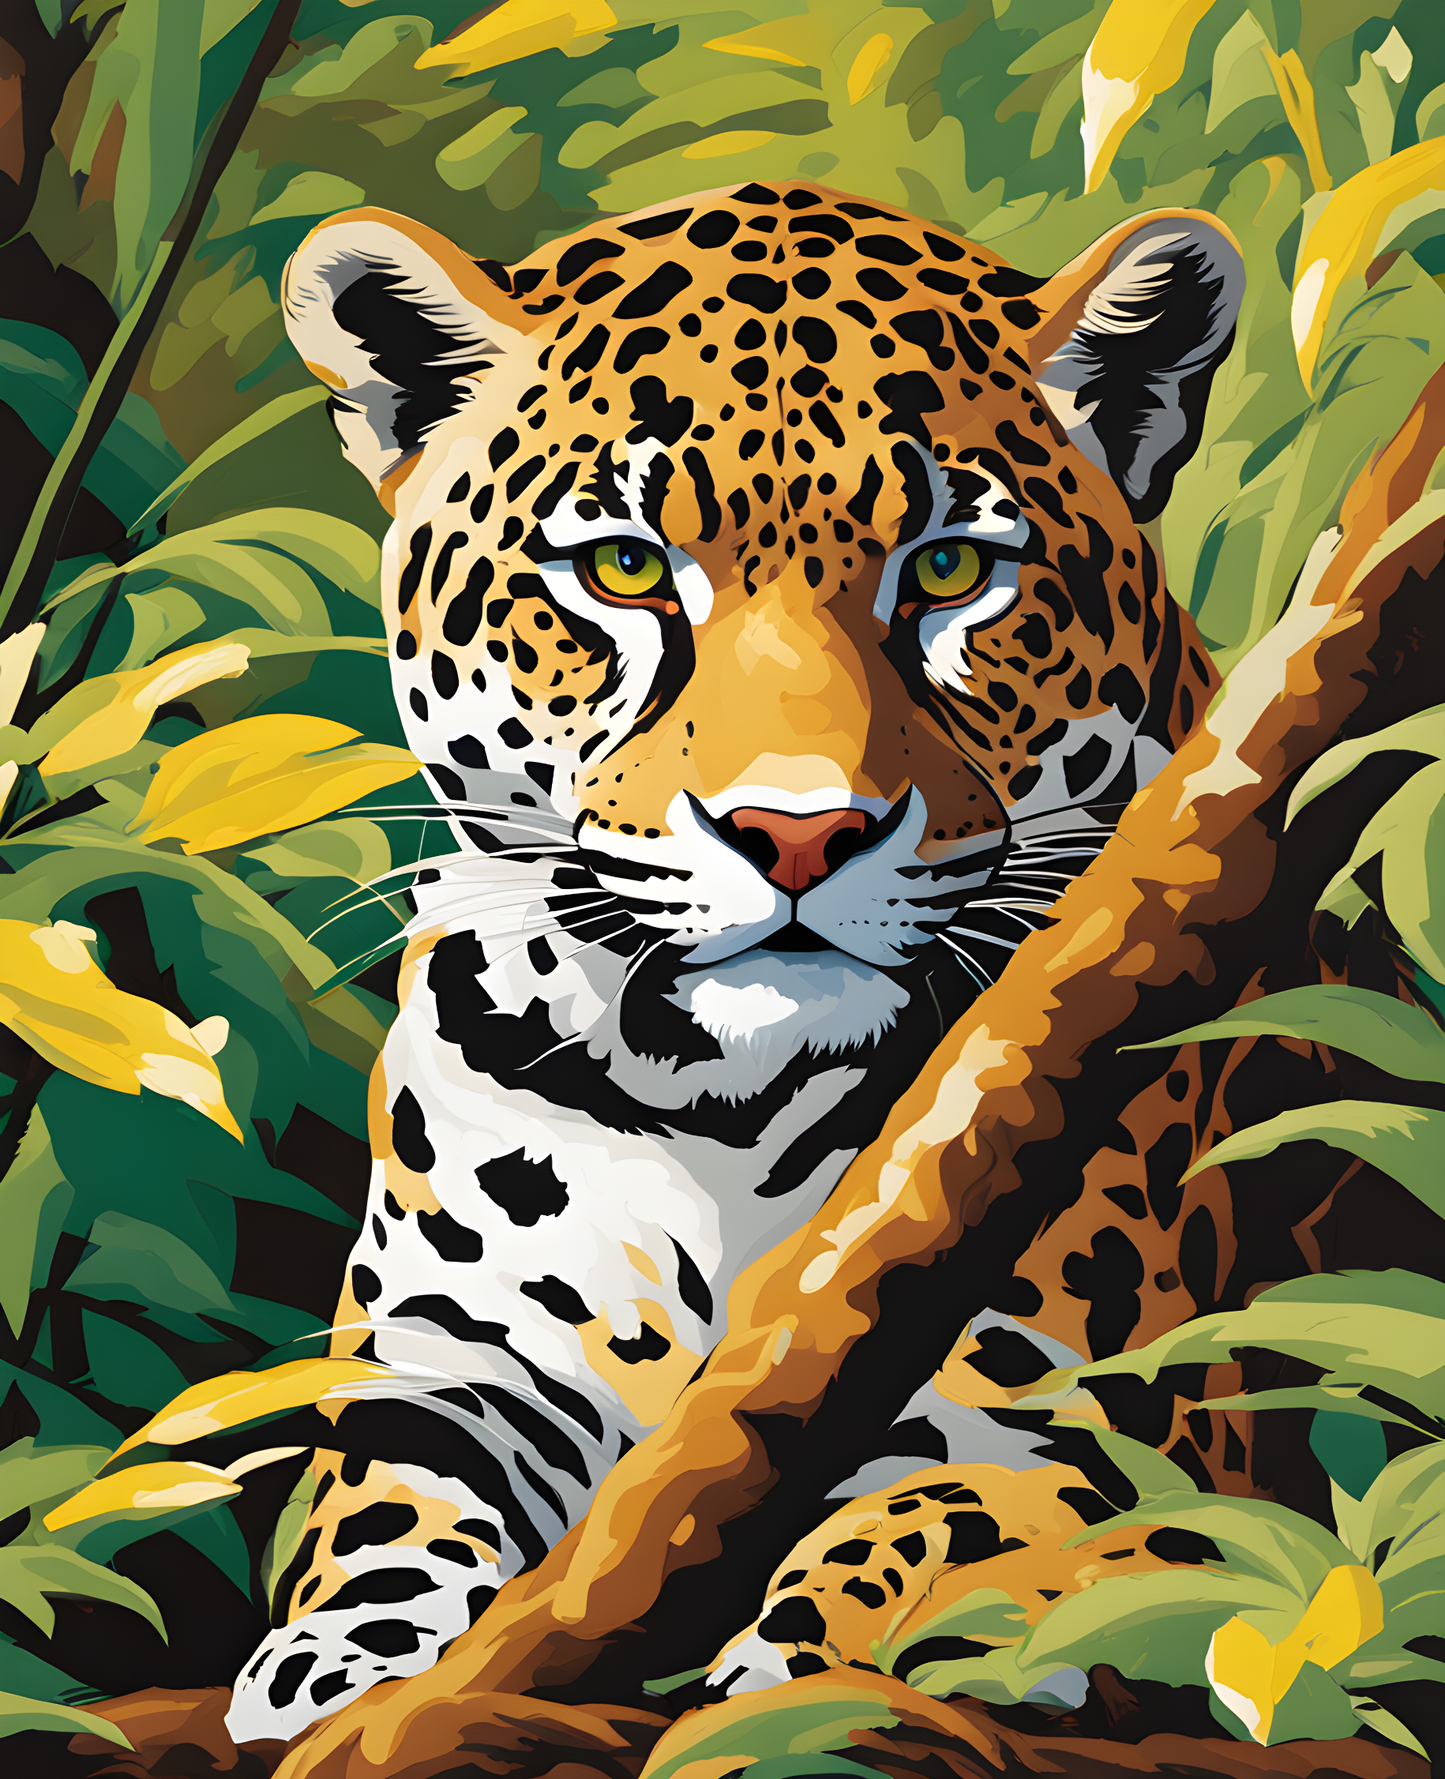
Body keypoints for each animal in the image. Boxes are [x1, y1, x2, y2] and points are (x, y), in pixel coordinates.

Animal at [224, 178, 1239, 1746]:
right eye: (625, 569)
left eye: (952, 568)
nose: (797, 831)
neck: (715, 1092)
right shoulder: (448, 1351)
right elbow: (389, 1500)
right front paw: (344, 1660)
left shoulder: (1076, 1412)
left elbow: (931, 1520)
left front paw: (802, 1671)